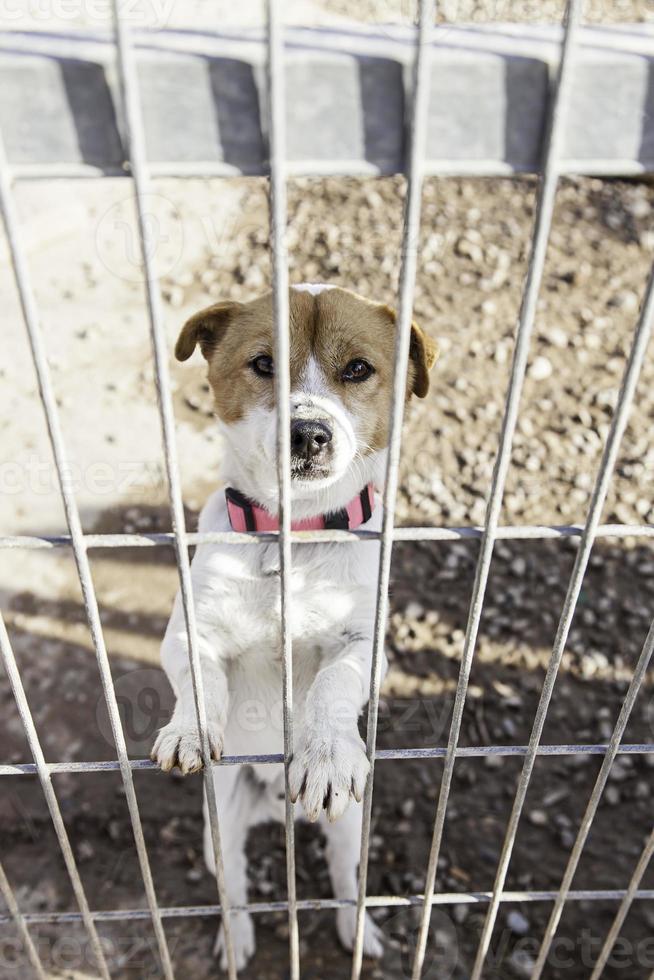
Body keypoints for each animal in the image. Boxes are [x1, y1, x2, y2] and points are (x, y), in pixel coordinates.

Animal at [153, 286, 438, 972]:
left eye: (358, 369)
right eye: (262, 364)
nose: (308, 432)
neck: (293, 538)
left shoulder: (366, 647)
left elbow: (333, 684)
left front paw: (327, 754)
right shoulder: (188, 635)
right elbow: (199, 680)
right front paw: (189, 728)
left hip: (349, 828)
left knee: (343, 876)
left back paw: (358, 930)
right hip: (222, 827)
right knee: (233, 888)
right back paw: (237, 940)